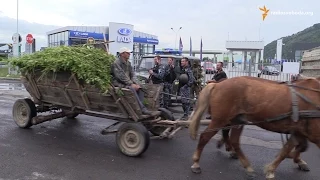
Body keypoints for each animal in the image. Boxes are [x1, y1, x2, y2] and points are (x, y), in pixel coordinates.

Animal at [188, 75, 320, 179]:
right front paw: (273, 168)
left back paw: (246, 165)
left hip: (237, 120)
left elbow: (292, 148)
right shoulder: (313, 134)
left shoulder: (300, 131)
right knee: (205, 137)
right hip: (220, 120)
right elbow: (294, 148)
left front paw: (286, 162)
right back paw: (196, 163)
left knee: (234, 140)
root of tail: (217, 84)